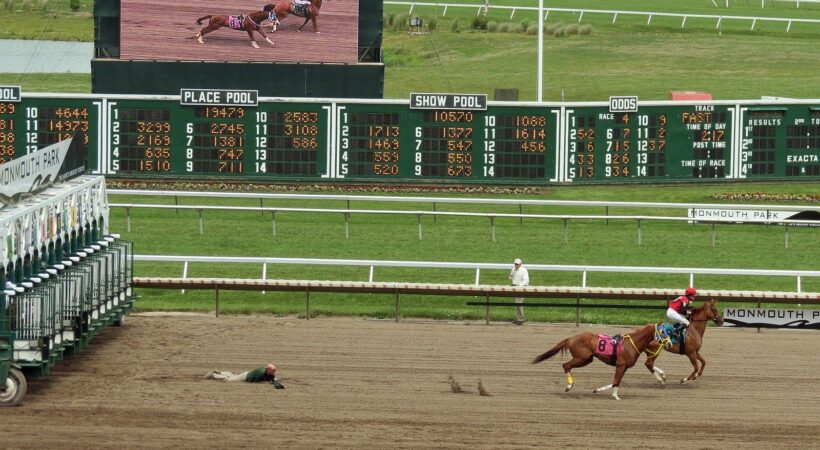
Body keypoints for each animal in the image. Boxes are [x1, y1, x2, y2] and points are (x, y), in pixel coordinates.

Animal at [532, 324, 660, 400]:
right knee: (566, 365)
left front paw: (601, 391)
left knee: (567, 365)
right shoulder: (620, 365)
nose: (663, 341)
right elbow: (616, 381)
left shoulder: (624, 367)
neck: (631, 344)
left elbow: (616, 382)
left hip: (587, 360)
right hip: (581, 358)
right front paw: (614, 396)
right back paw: (569, 386)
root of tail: (571, 338)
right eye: (662, 330)